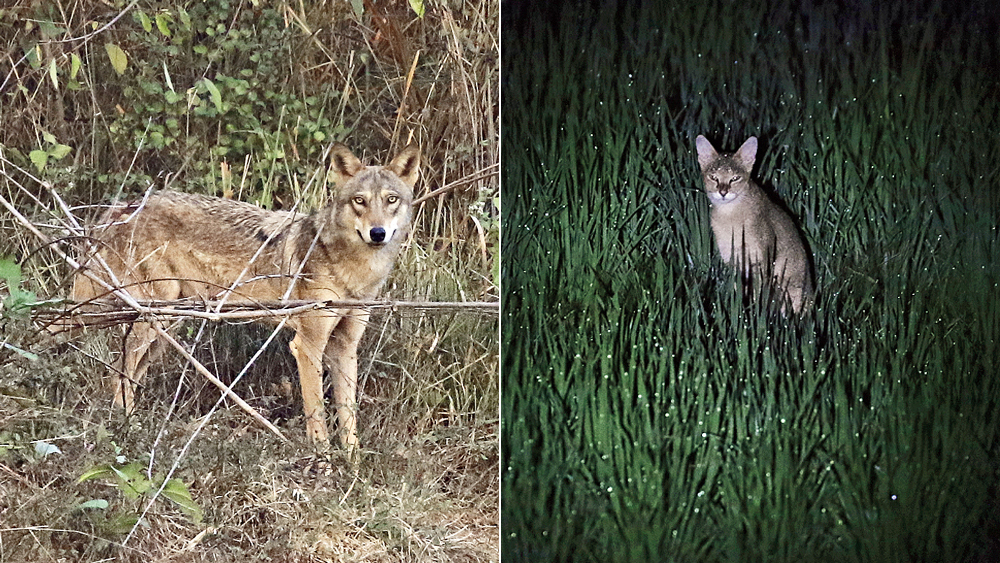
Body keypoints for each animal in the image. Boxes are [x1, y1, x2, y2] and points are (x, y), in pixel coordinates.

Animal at [69, 144, 422, 450]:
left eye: (391, 200)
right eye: (359, 201)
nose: (378, 233)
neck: (353, 271)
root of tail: (121, 207)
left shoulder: (345, 346)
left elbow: (349, 419)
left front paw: (353, 466)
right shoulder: (306, 346)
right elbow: (317, 414)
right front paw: (322, 460)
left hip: (165, 328)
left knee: (127, 375)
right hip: (149, 319)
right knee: (117, 373)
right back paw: (126, 430)